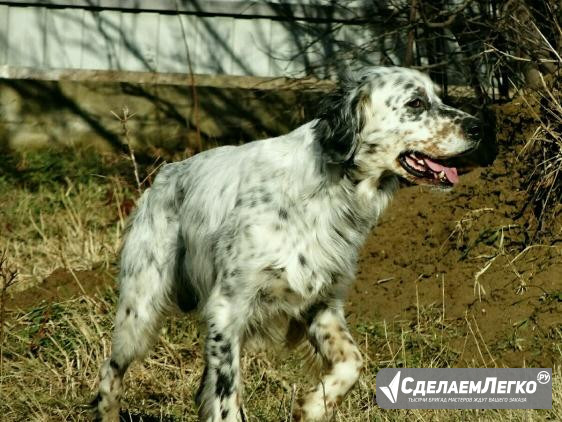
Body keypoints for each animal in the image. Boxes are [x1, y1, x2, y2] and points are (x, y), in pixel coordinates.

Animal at [94, 67, 480, 422]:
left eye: (439, 96)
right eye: (416, 103)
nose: (478, 126)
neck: (329, 190)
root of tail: (163, 175)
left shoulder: (321, 303)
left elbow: (353, 363)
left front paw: (314, 406)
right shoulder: (227, 308)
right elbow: (228, 401)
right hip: (139, 312)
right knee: (110, 376)